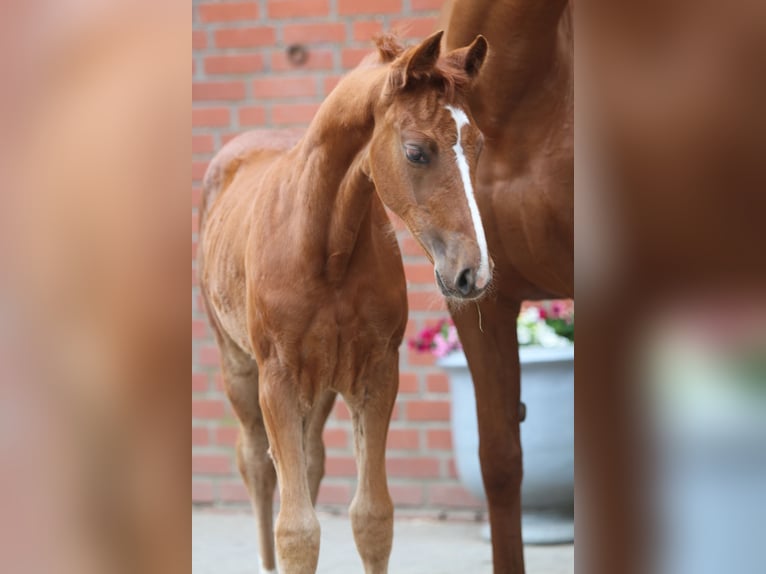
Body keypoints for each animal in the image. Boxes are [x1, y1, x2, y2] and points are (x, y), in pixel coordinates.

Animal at [200, 32, 492, 574]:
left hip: (320, 384)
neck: (325, 249)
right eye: (416, 151)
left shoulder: (376, 373)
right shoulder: (277, 379)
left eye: (478, 144)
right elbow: (296, 531)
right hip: (239, 366)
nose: (473, 273)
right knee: (256, 465)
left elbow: (372, 517)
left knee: (311, 460)